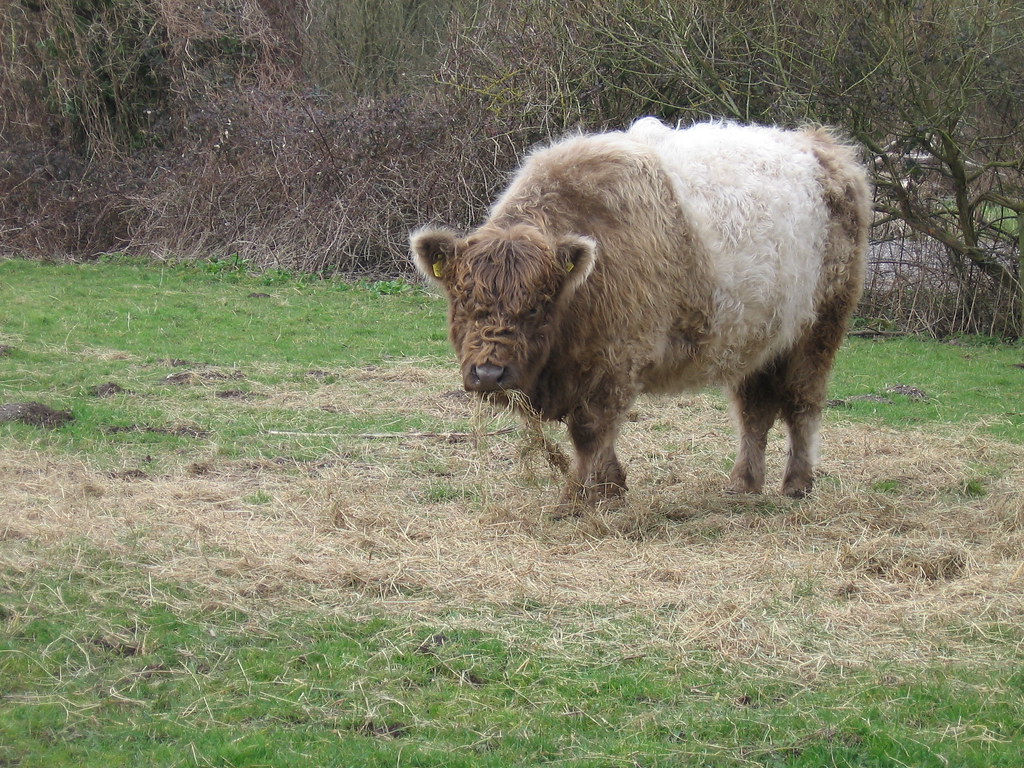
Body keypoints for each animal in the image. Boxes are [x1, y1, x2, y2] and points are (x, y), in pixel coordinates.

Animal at [411, 115, 868, 512]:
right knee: (754, 410)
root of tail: (822, 146)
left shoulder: (616, 361)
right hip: (757, 338)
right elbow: (598, 436)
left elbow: (591, 432)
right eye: (461, 300)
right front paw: (611, 488)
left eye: (538, 306)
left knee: (802, 404)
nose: (489, 373)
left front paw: (579, 499)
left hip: (818, 329)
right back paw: (744, 482)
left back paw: (797, 483)